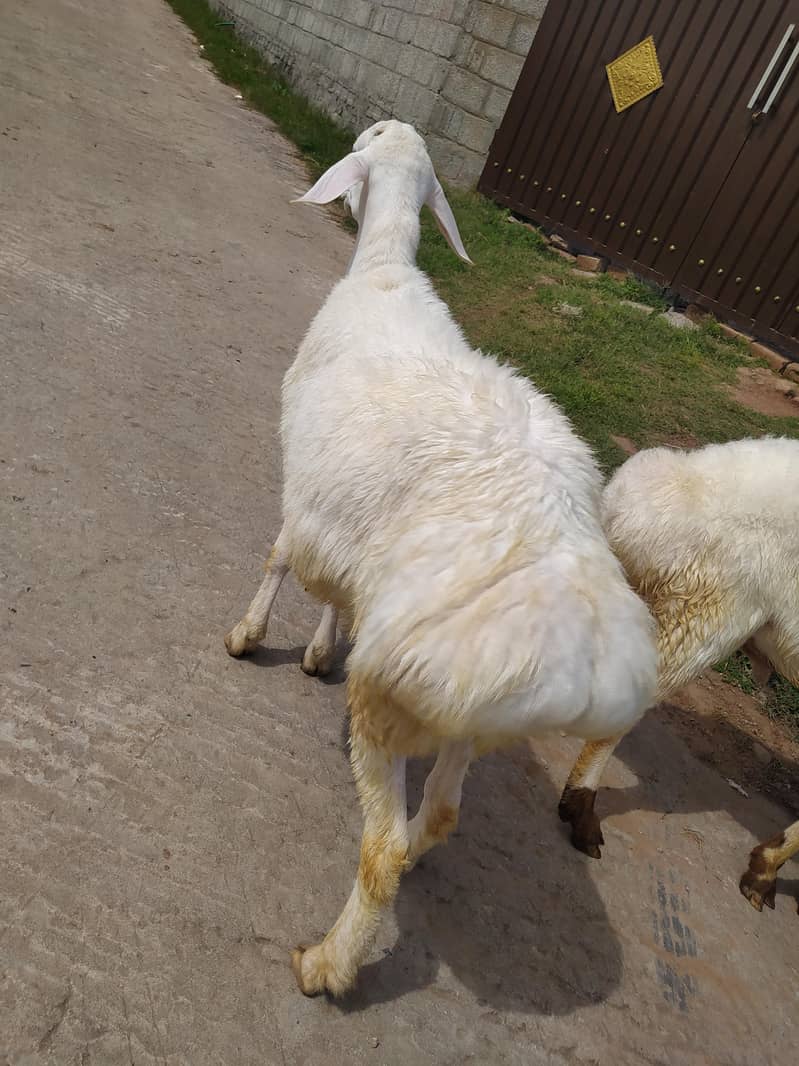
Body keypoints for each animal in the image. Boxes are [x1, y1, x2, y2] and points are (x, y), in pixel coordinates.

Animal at [225, 119, 658, 996]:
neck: (385, 271)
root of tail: (583, 656)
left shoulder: (305, 493)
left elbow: (278, 557)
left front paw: (250, 636)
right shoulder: (352, 528)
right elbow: (335, 592)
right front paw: (317, 645)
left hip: (395, 695)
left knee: (383, 847)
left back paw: (329, 963)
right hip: (469, 713)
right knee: (443, 815)